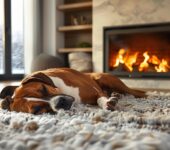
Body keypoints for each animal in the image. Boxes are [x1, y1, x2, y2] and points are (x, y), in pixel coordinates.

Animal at [0, 67, 146, 114]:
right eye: (37, 110)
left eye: (43, 88)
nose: (60, 102)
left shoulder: (95, 91)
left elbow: (100, 98)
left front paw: (107, 103)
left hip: (106, 79)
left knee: (137, 93)